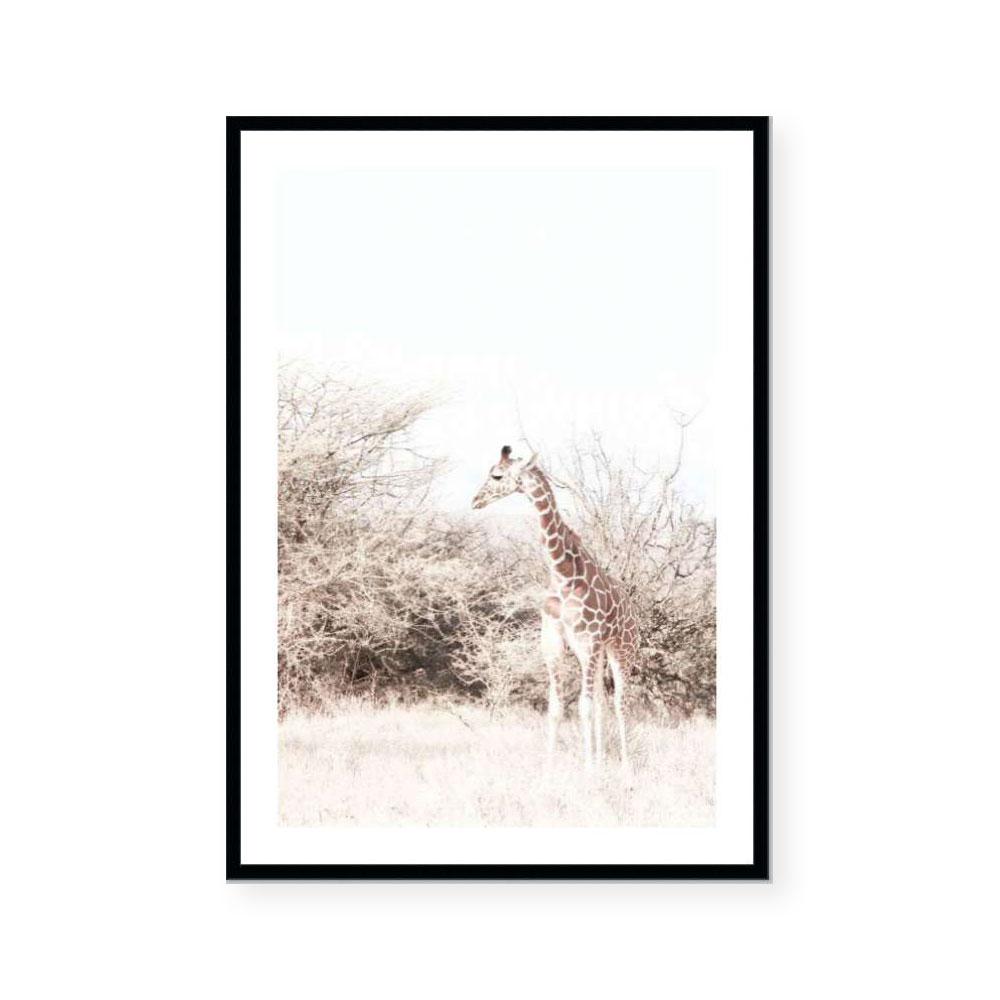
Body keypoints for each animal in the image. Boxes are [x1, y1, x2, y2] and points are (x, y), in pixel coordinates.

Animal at [472, 445, 639, 771]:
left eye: (497, 475)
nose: (475, 501)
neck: (563, 574)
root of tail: (630, 606)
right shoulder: (554, 641)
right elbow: (556, 707)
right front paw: (552, 769)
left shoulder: (589, 641)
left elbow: (584, 707)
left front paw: (589, 770)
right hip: (597, 652)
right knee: (602, 701)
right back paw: (602, 757)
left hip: (620, 647)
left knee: (620, 701)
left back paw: (624, 765)